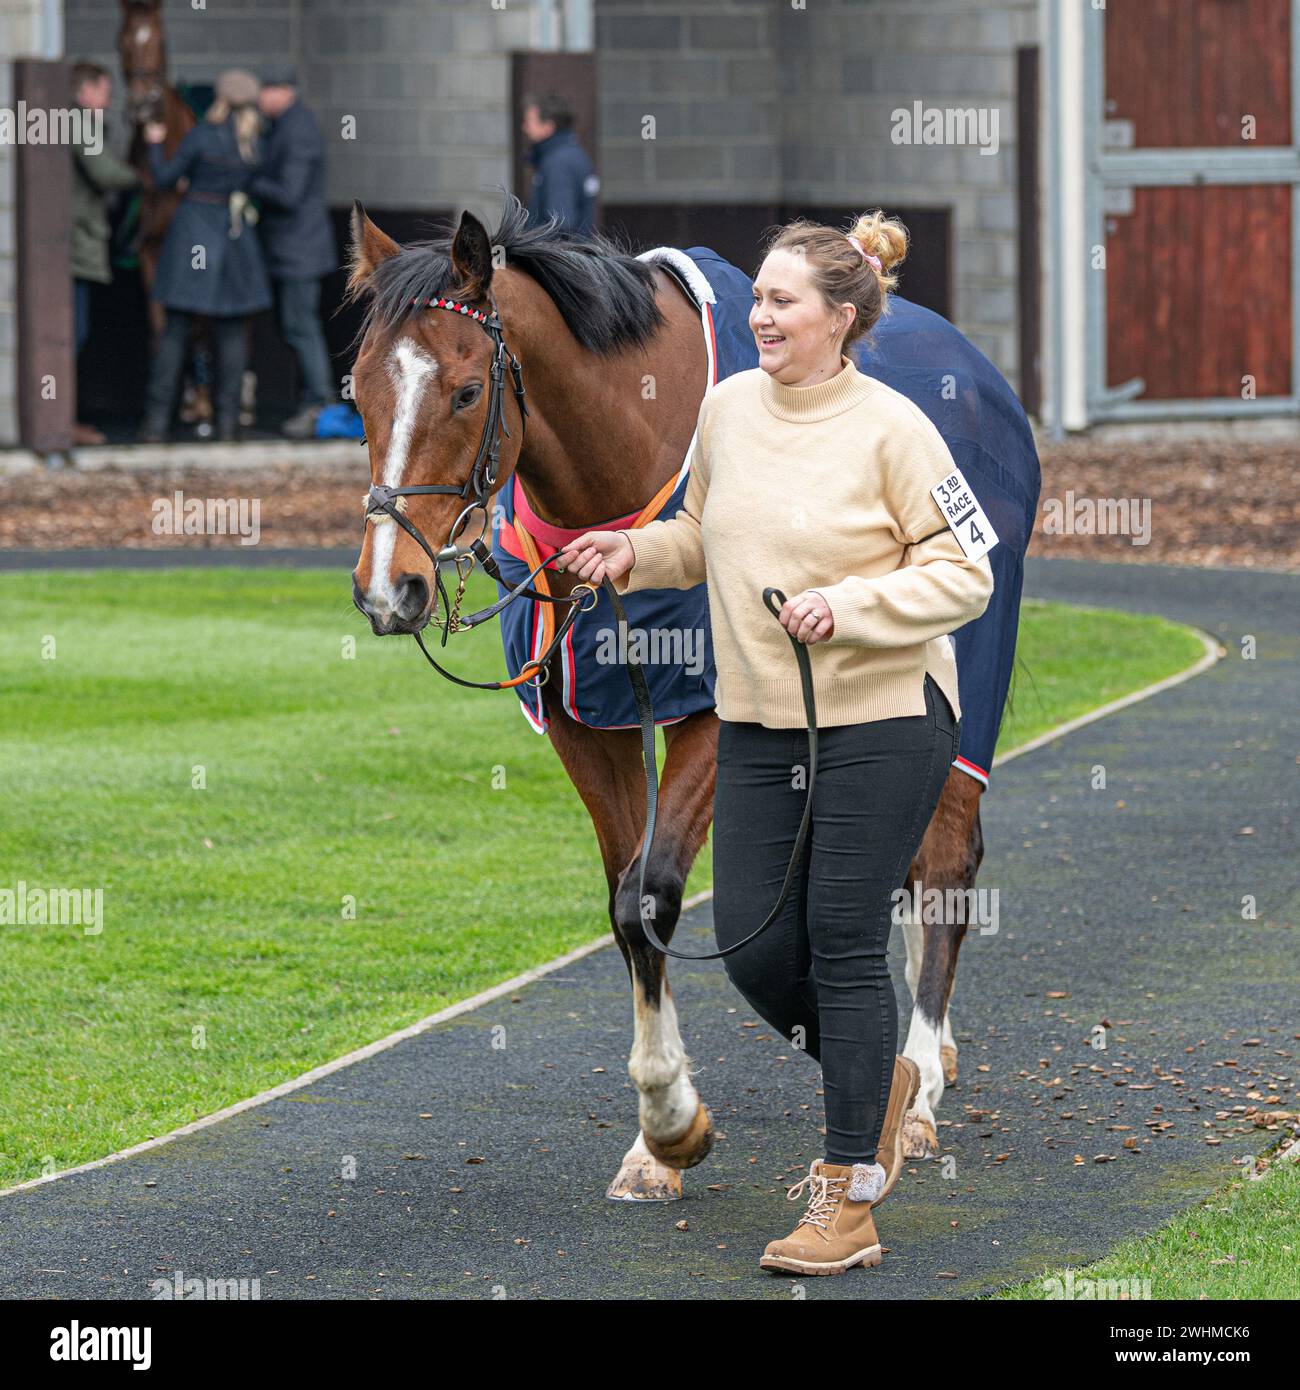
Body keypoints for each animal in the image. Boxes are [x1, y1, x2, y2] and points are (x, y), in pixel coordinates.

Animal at [350, 198, 1012, 1206]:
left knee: (943, 862)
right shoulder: (585, 719)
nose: (391, 590)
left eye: (464, 392)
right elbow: (624, 906)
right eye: (356, 391)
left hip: (965, 669)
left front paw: (673, 1117)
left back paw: (924, 1081)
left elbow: (651, 894)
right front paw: (657, 1140)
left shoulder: (714, 711)